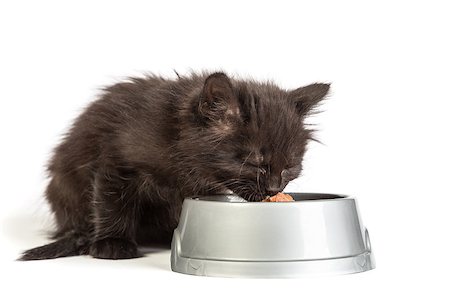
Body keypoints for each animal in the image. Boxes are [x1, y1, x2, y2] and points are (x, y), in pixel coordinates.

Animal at [19, 71, 328, 258]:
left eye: (289, 167)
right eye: (256, 163)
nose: (274, 188)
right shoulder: (116, 162)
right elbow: (111, 204)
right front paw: (112, 243)